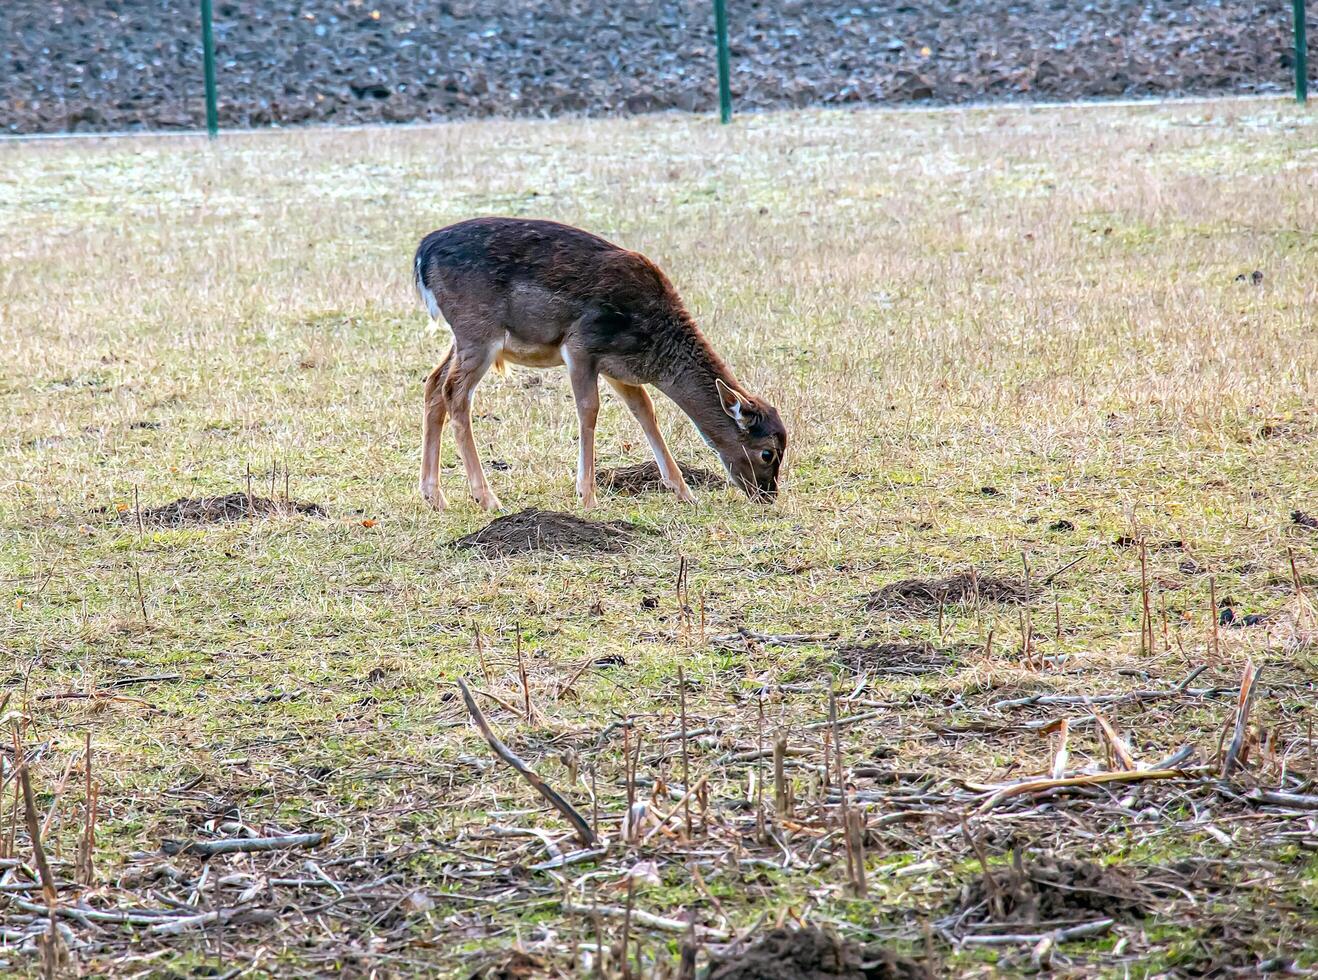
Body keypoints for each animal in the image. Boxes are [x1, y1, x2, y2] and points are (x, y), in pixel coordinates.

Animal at [413, 219, 780, 513]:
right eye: (767, 453)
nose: (768, 494)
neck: (653, 348)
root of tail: (421, 256)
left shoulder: (619, 369)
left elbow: (645, 411)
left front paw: (686, 493)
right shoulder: (580, 346)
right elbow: (589, 410)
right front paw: (588, 498)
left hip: (462, 337)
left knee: (434, 382)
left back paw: (435, 497)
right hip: (478, 330)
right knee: (454, 392)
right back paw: (487, 499)